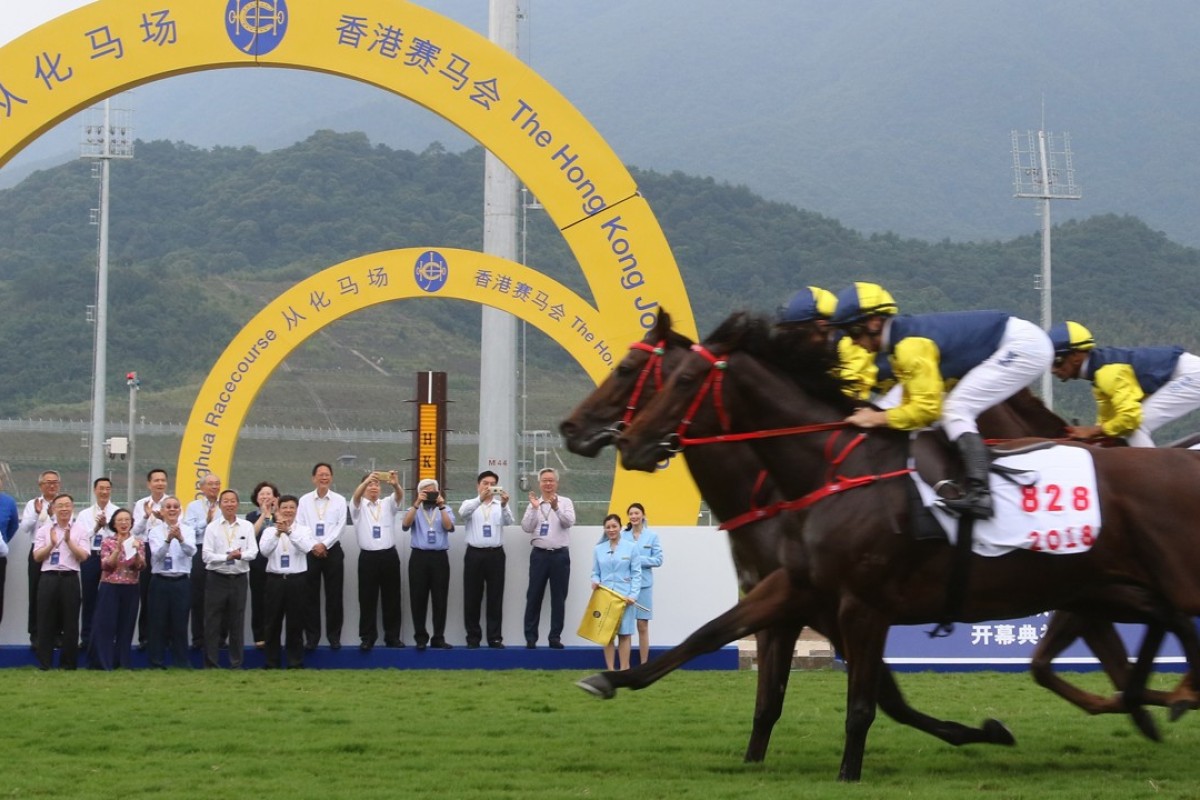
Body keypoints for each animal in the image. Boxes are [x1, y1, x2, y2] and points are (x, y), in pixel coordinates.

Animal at [614, 311, 1200, 782]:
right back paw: (1165, 697)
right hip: (1113, 587)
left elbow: (864, 705)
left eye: (684, 379)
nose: (629, 441)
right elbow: (712, 633)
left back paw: (1170, 696)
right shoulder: (805, 590)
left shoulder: (862, 606)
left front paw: (849, 774)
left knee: (1174, 620)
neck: (836, 470)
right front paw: (615, 678)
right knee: (1165, 621)